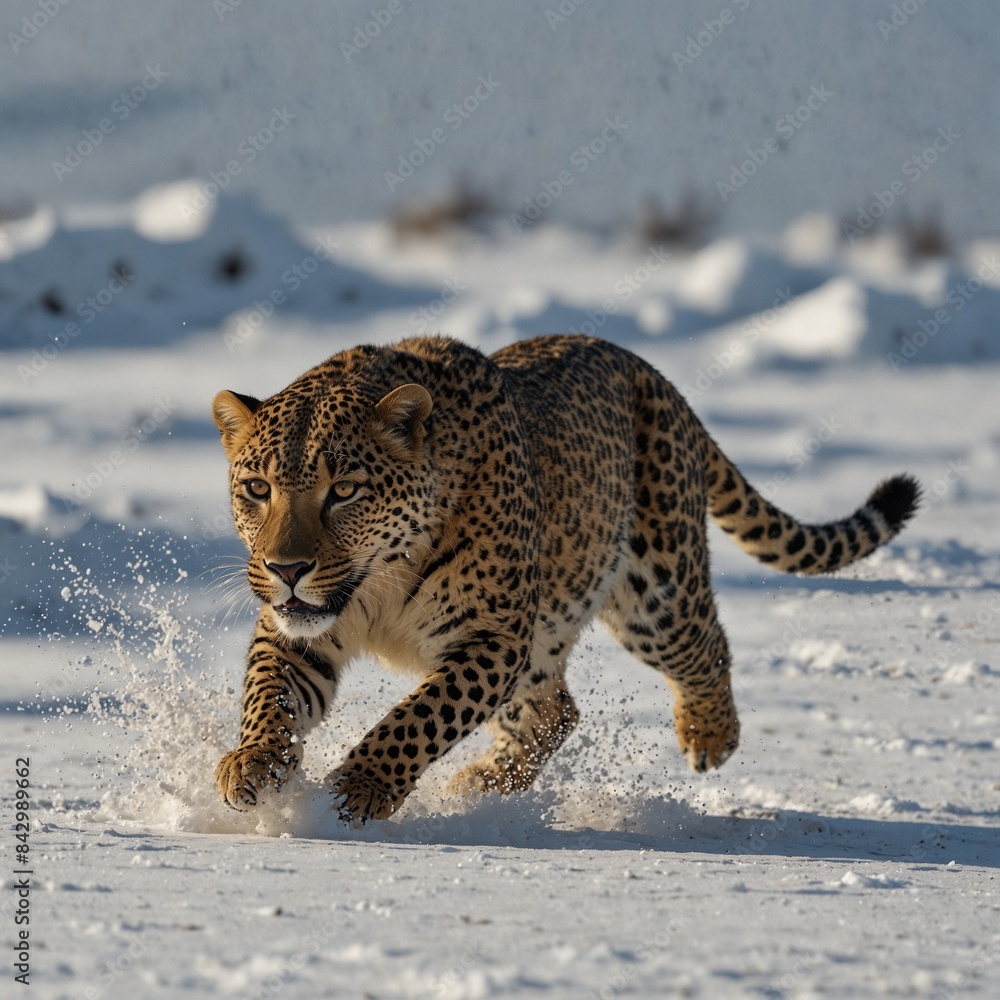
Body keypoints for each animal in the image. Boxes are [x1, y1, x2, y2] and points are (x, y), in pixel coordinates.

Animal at [211, 334, 919, 825]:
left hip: (654, 595)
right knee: (554, 713)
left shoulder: (492, 639)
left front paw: (361, 786)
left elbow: (420, 716)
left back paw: (709, 734)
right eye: (257, 489)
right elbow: (268, 695)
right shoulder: (295, 631)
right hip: (547, 640)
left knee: (705, 646)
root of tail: (644, 368)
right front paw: (253, 765)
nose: (286, 568)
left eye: (345, 491)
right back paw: (482, 786)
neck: (378, 581)